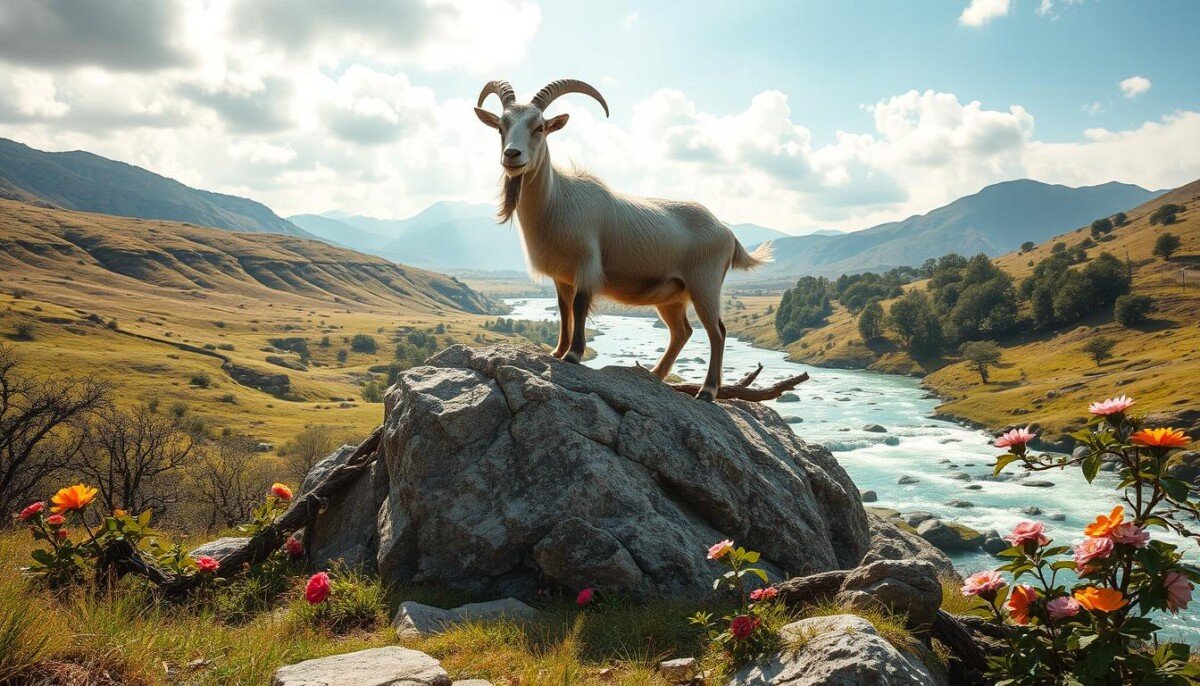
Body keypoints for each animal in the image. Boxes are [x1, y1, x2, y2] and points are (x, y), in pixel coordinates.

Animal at [474, 79, 772, 400]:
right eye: (501, 126)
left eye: (539, 127)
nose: (511, 155)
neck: (558, 200)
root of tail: (727, 232)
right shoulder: (562, 277)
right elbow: (564, 310)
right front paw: (557, 352)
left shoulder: (587, 266)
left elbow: (579, 306)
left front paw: (573, 355)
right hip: (673, 296)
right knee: (682, 331)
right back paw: (655, 374)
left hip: (704, 284)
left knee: (717, 332)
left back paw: (706, 391)